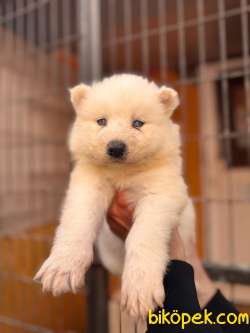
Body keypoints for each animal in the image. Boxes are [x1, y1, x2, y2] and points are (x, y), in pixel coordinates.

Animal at [34, 74, 195, 318]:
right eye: (101, 121)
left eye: (138, 123)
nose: (116, 147)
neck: (123, 173)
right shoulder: (90, 181)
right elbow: (78, 218)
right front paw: (60, 271)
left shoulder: (162, 187)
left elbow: (145, 231)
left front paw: (140, 291)